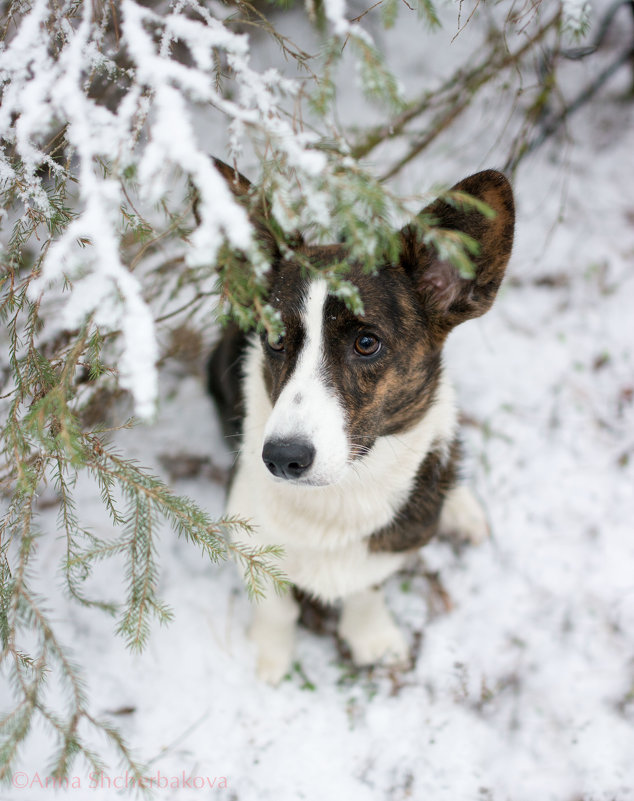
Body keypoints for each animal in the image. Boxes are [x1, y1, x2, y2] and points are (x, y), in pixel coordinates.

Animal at [207, 161, 512, 680]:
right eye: (274, 339)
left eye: (366, 343)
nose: (282, 459)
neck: (340, 493)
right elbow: (276, 603)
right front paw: (268, 657)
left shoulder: (389, 546)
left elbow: (367, 589)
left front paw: (373, 639)